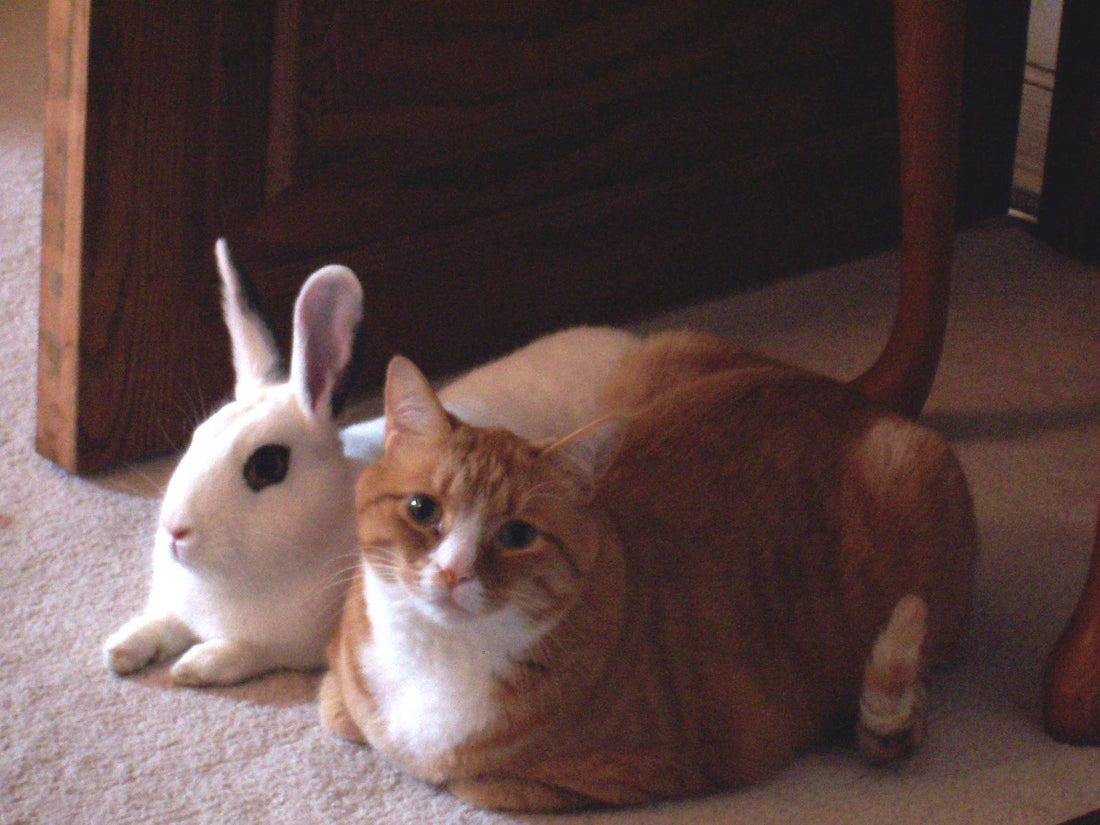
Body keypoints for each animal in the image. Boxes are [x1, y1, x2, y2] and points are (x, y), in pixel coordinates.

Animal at [103, 240, 640, 686]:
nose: (175, 532)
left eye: (267, 466)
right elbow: (161, 622)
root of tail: (626, 343)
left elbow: (244, 652)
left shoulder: (292, 646)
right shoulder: (178, 608)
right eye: (196, 437)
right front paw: (121, 649)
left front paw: (195, 666)